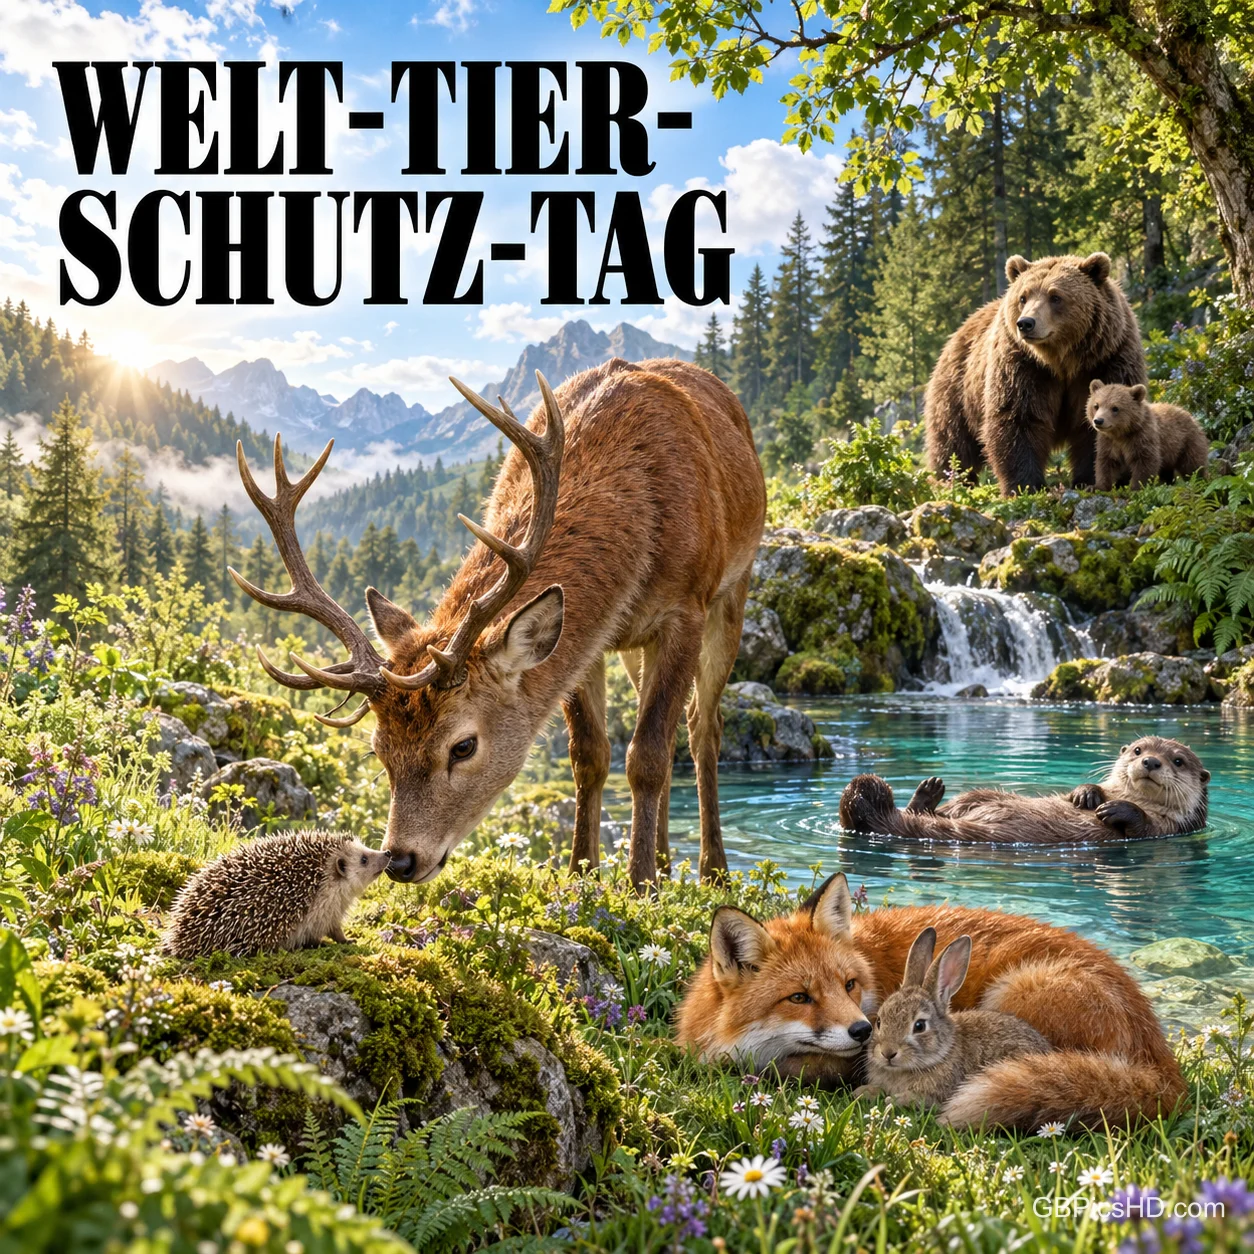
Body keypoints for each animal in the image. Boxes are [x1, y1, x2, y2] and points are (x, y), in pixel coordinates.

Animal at [231, 357, 766, 890]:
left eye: (463, 746)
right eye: (378, 750)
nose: (400, 860)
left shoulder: (685, 608)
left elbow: (648, 755)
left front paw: (639, 884)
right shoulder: (587, 643)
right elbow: (589, 755)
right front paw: (582, 872)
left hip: (733, 591)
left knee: (702, 728)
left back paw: (712, 870)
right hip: (637, 647)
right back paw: (668, 862)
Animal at [925, 253, 1147, 495]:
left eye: (1055, 296)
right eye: (1023, 297)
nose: (1025, 323)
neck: (1063, 360)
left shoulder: (1108, 359)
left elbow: (1098, 424)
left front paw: (1090, 480)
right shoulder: (1023, 365)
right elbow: (1018, 416)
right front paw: (1025, 485)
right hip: (958, 391)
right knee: (953, 443)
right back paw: (952, 482)